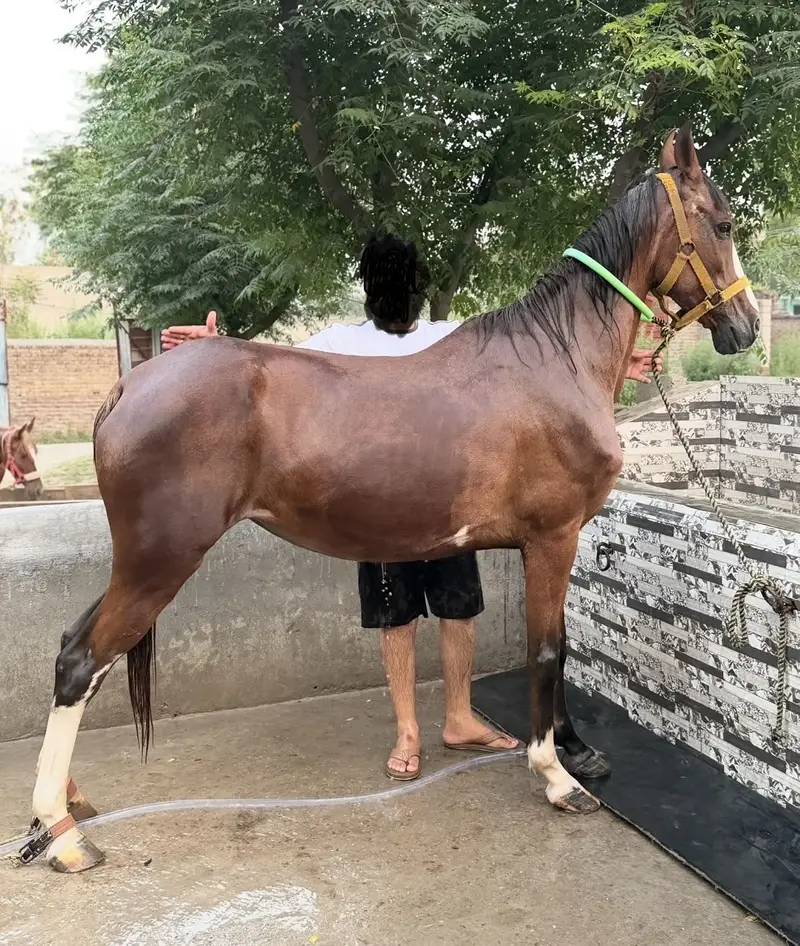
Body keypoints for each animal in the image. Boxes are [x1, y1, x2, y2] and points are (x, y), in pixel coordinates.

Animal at [23, 125, 759, 873]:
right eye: (725, 224)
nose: (747, 327)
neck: (557, 360)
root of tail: (130, 386)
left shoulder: (550, 542)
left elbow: (562, 646)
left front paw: (575, 752)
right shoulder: (554, 537)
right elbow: (547, 650)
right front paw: (556, 775)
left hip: (141, 562)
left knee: (76, 651)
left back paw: (67, 808)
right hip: (159, 561)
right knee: (81, 662)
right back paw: (64, 833)